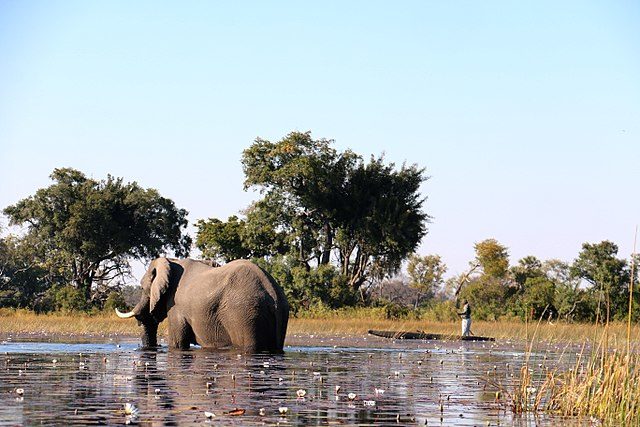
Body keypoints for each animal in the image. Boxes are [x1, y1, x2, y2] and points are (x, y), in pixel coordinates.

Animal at [115, 258, 290, 354]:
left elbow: (177, 343)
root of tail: (273, 294)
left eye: (142, 288)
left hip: (245, 314)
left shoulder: (176, 307)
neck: (172, 261)